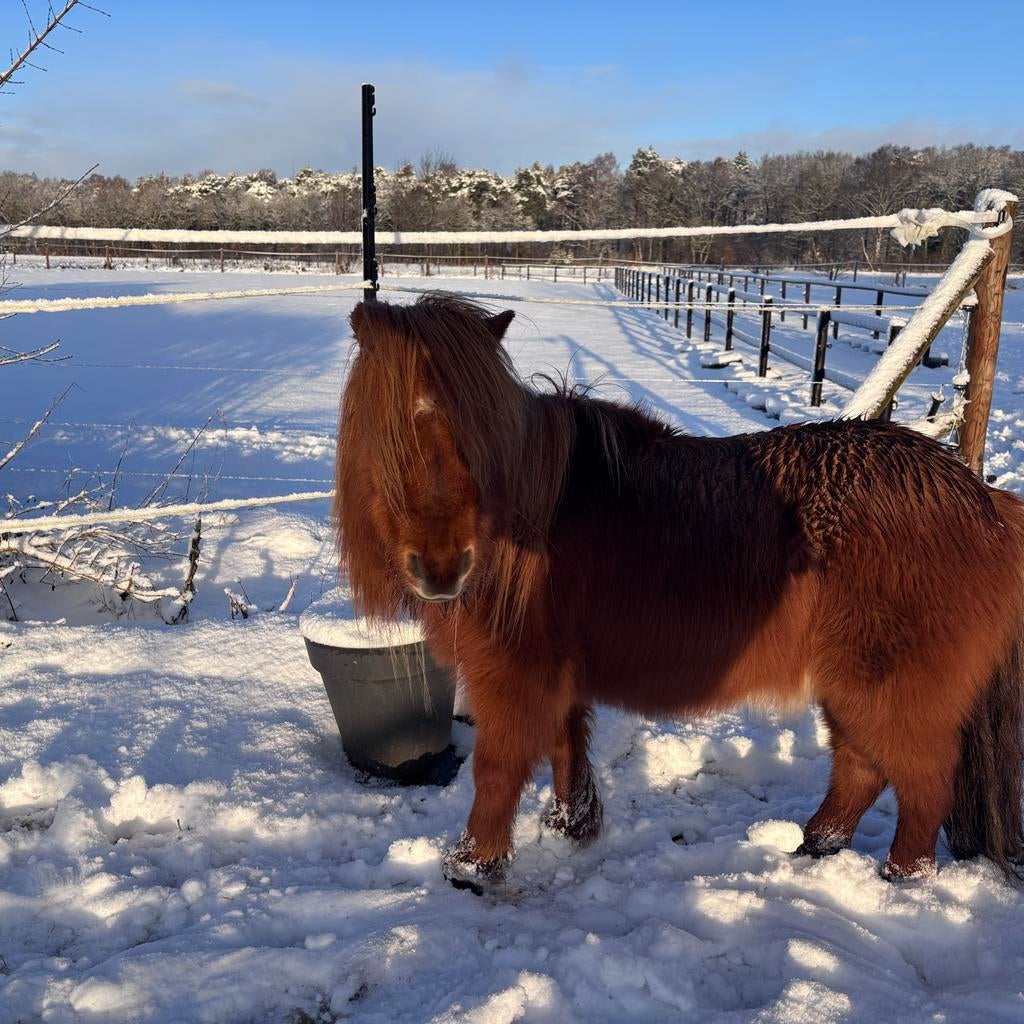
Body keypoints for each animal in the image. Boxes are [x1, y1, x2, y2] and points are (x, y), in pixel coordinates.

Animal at [336, 292, 1024, 895]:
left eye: (477, 438)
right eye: (381, 430)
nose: (442, 570)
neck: (531, 518)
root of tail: (983, 500)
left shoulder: (513, 677)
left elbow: (496, 771)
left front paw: (472, 868)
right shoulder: (556, 677)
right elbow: (566, 750)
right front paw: (569, 828)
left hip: (890, 689)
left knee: (922, 787)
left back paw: (899, 880)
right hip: (852, 687)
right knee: (860, 768)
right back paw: (813, 847)